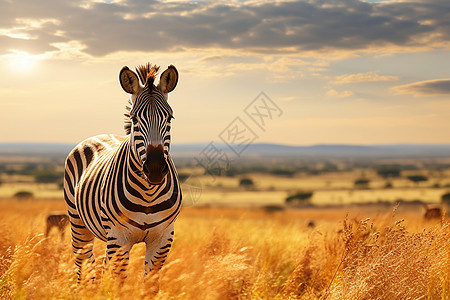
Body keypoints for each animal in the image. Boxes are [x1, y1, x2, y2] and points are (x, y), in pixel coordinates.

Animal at [63, 63, 183, 282]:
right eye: (135, 119)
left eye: (169, 117)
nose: (155, 169)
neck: (148, 194)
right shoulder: (119, 238)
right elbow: (118, 282)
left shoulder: (163, 238)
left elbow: (150, 284)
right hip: (78, 223)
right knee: (84, 266)